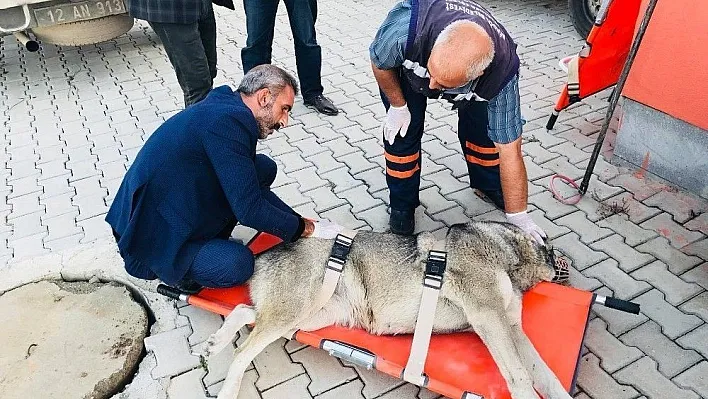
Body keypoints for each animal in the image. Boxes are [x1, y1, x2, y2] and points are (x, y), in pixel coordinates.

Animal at [202, 222, 572, 399]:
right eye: (555, 253)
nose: (566, 264)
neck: (507, 251)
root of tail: (261, 255)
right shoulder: (488, 316)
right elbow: (520, 376)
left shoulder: (511, 328)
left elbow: (548, 377)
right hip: (294, 313)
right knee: (243, 352)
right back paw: (227, 386)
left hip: (311, 316)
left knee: (243, 309)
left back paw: (215, 343)